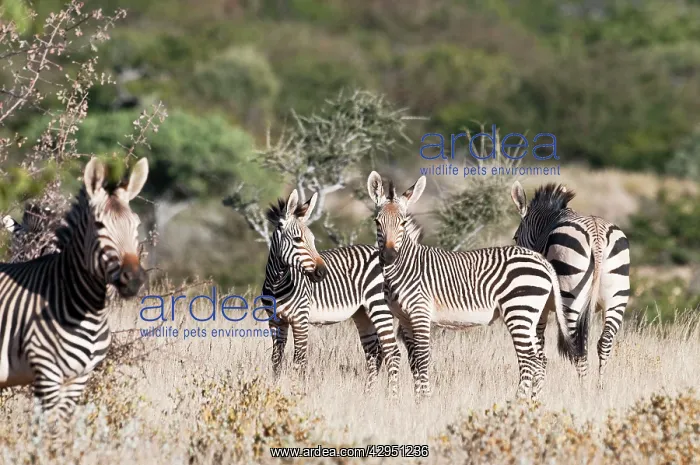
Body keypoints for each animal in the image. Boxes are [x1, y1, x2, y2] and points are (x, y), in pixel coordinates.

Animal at [261, 189, 413, 396]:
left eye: (313, 240)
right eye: (298, 240)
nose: (322, 272)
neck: (277, 282)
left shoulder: (300, 319)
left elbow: (299, 360)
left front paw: (297, 393)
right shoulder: (275, 321)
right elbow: (276, 360)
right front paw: (274, 390)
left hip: (379, 307)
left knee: (392, 352)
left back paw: (392, 397)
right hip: (362, 314)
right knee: (375, 353)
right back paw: (368, 395)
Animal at [366, 171, 573, 401]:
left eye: (402, 223)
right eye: (377, 222)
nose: (389, 256)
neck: (405, 267)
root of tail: (542, 261)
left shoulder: (420, 314)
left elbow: (421, 357)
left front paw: (425, 398)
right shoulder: (404, 319)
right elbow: (412, 360)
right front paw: (417, 399)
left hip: (519, 310)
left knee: (530, 359)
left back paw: (517, 400)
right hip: (534, 315)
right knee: (540, 359)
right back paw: (533, 402)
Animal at [510, 181, 631, 388]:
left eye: (516, 238)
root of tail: (596, 234)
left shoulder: (541, 305)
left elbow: (539, 341)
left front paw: (537, 380)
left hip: (570, 296)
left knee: (577, 346)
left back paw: (582, 389)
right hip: (617, 297)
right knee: (603, 342)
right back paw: (598, 388)